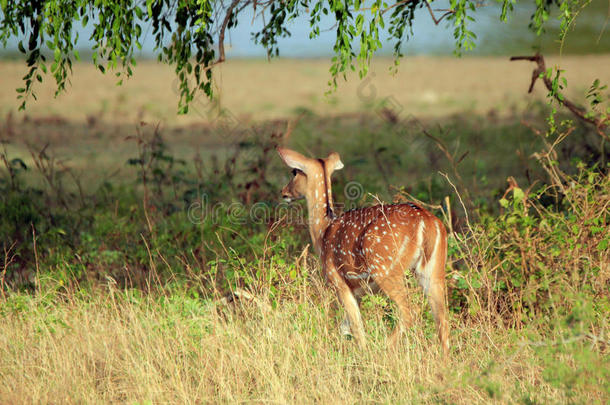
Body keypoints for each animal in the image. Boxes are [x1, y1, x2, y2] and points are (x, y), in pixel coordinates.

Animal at [278, 148, 448, 354]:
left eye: (294, 172)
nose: (283, 192)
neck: (323, 232)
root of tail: (426, 222)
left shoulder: (338, 282)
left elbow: (356, 327)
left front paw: (362, 354)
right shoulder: (358, 291)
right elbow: (345, 328)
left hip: (385, 268)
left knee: (410, 312)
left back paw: (383, 349)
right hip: (434, 268)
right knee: (442, 319)